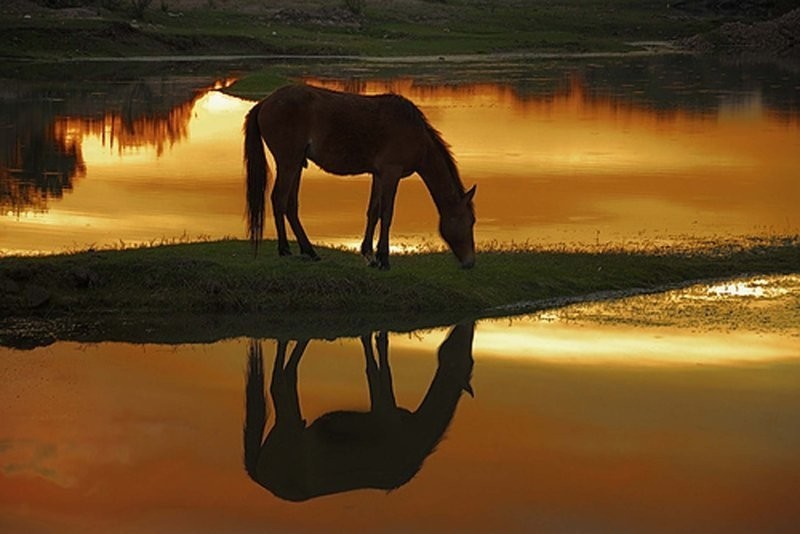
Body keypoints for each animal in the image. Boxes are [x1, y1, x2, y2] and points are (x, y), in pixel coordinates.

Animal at [241, 324, 472, 504]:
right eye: (466, 360)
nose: (467, 328)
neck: (414, 438)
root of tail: (260, 477)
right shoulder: (385, 412)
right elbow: (377, 368)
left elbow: (377, 353)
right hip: (290, 424)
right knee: (282, 379)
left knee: (284, 377)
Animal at [244, 84, 478, 272]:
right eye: (468, 222)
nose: (470, 262)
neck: (414, 133)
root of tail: (265, 102)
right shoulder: (391, 173)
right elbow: (387, 214)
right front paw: (384, 259)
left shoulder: (379, 174)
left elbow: (373, 212)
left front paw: (369, 255)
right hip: (289, 162)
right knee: (279, 200)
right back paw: (285, 249)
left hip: (297, 164)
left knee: (291, 205)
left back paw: (309, 251)